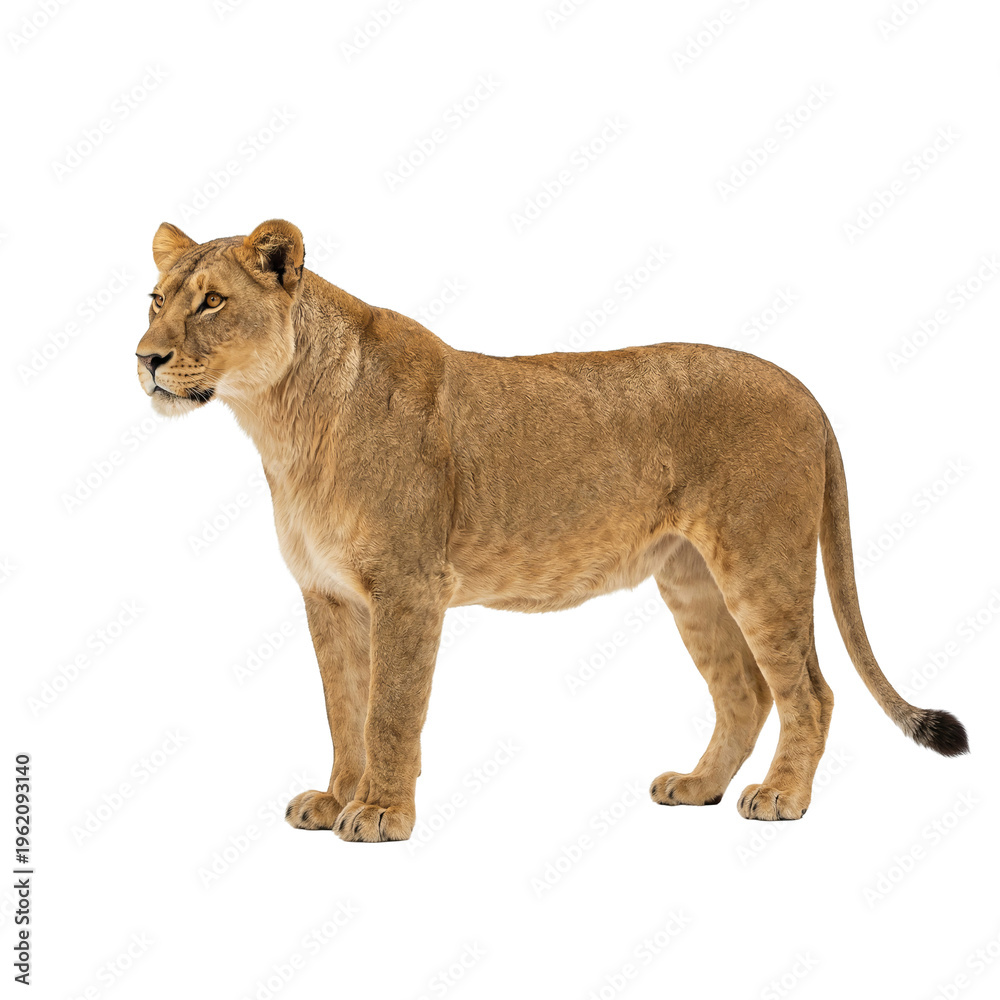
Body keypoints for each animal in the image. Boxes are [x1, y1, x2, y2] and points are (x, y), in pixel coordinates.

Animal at [136, 218, 968, 841]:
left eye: (211, 303)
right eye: (154, 299)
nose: (146, 358)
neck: (282, 421)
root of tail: (805, 388)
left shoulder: (409, 587)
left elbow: (390, 709)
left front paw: (378, 814)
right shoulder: (328, 594)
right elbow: (344, 706)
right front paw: (338, 798)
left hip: (763, 563)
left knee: (810, 691)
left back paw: (781, 798)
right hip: (691, 578)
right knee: (745, 692)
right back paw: (697, 785)